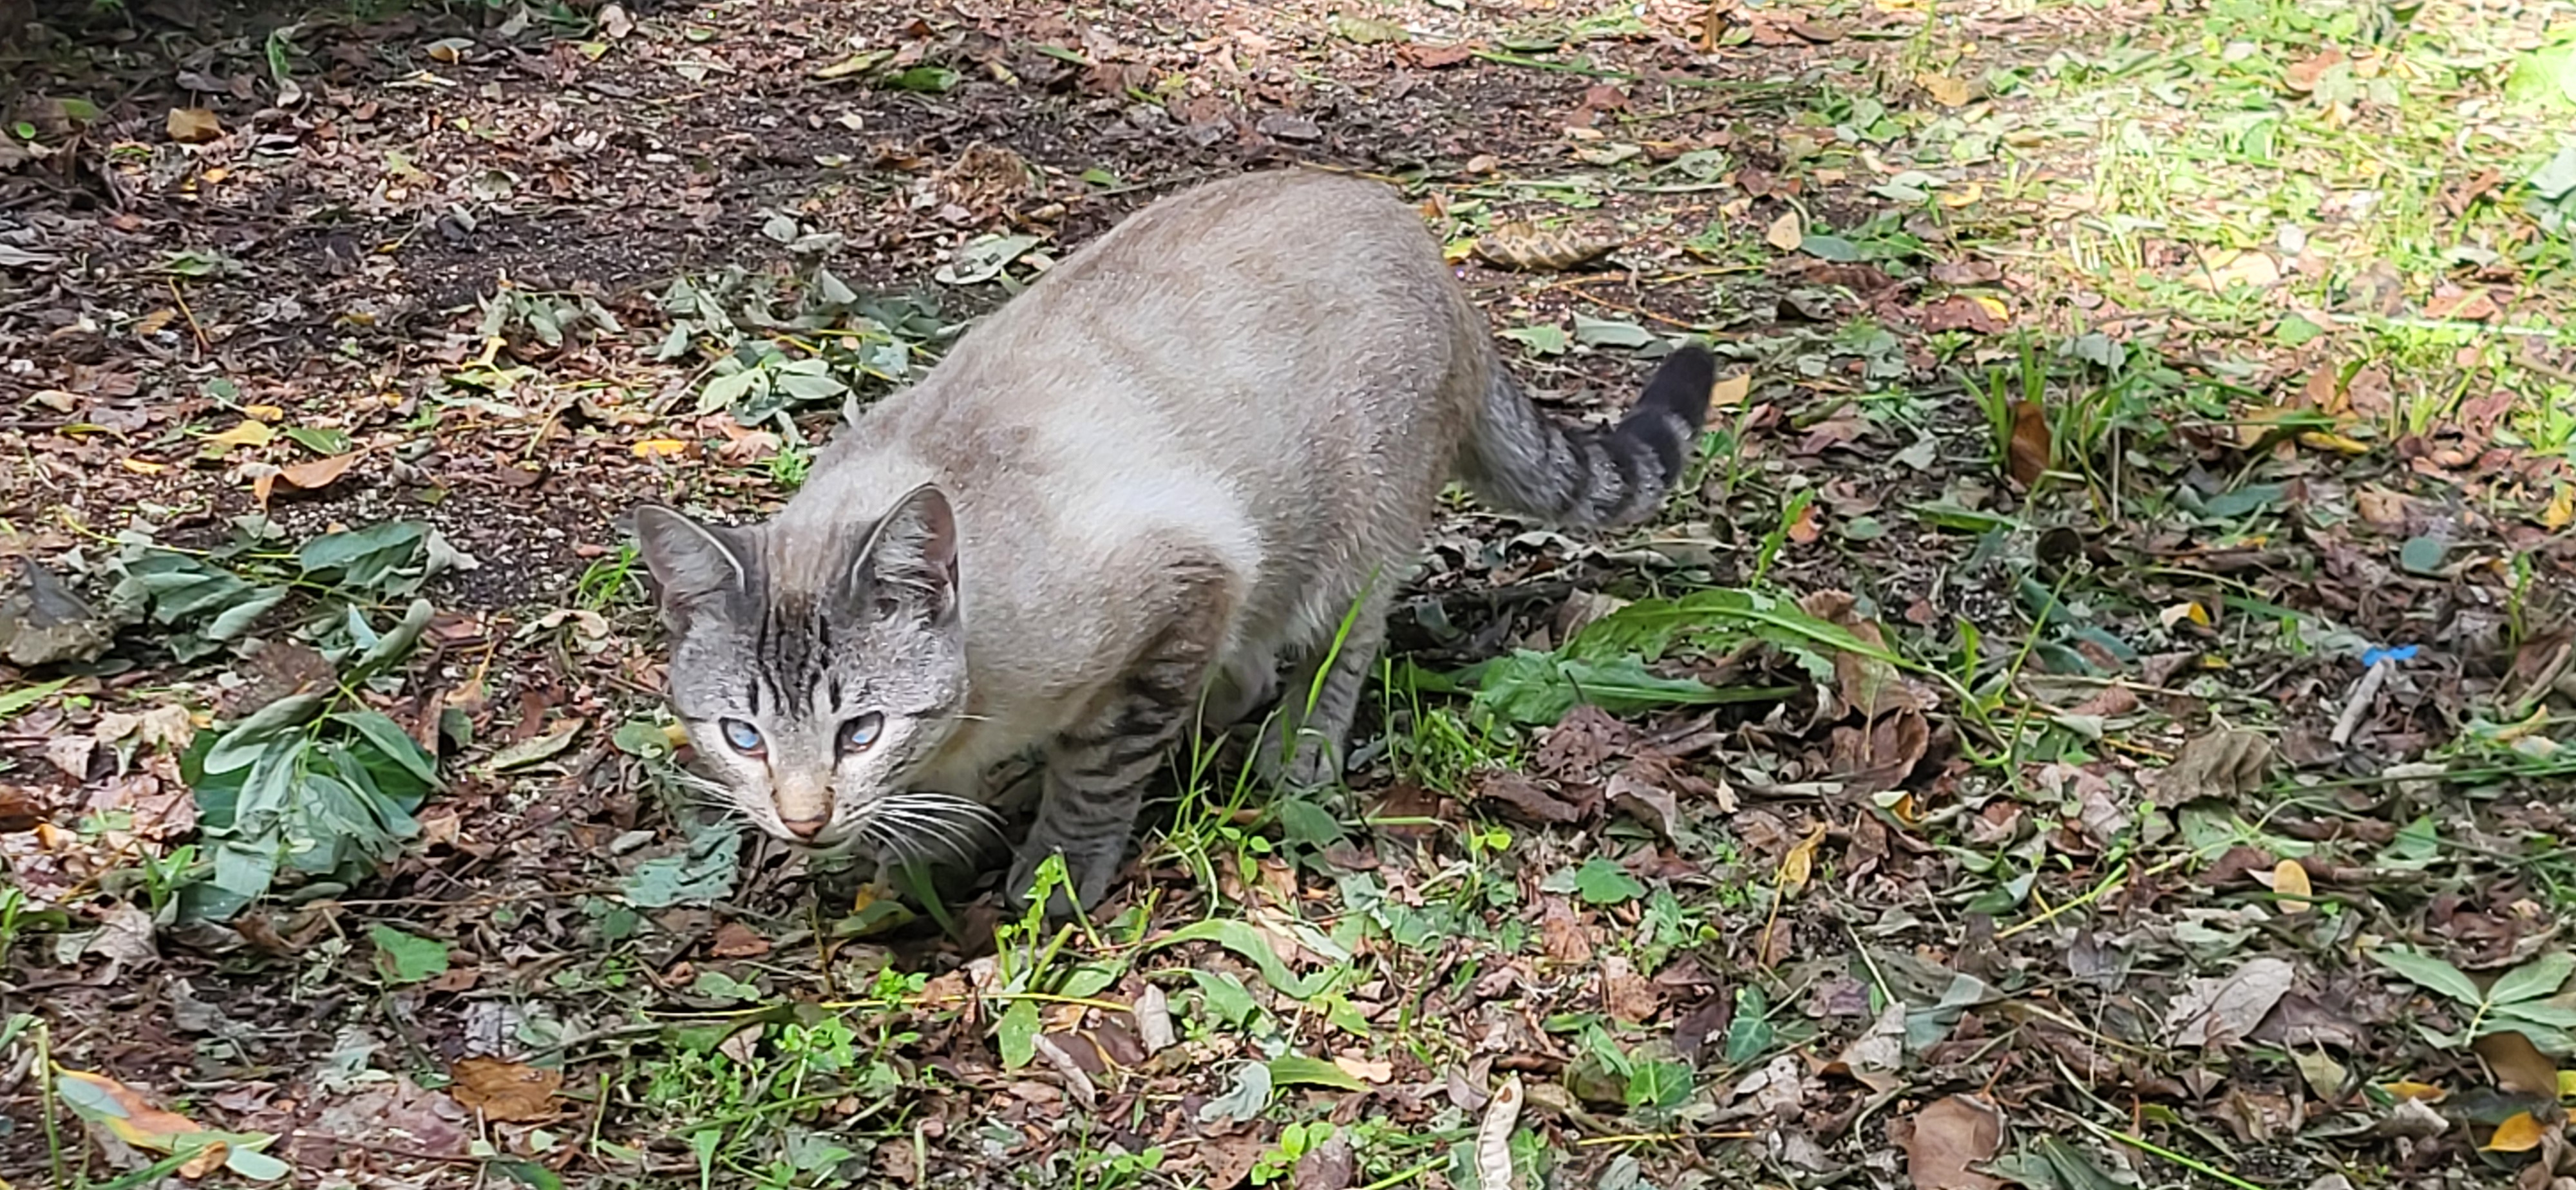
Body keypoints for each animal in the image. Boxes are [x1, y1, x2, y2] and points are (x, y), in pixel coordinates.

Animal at [626, 165, 1710, 912]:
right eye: (742, 737)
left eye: (859, 729)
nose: (802, 821)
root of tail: (1422, 245)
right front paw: (919, 863)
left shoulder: (1187, 581)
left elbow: (1097, 777)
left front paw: (1050, 878)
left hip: (1354, 533)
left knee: (1337, 648)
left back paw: (1291, 749)